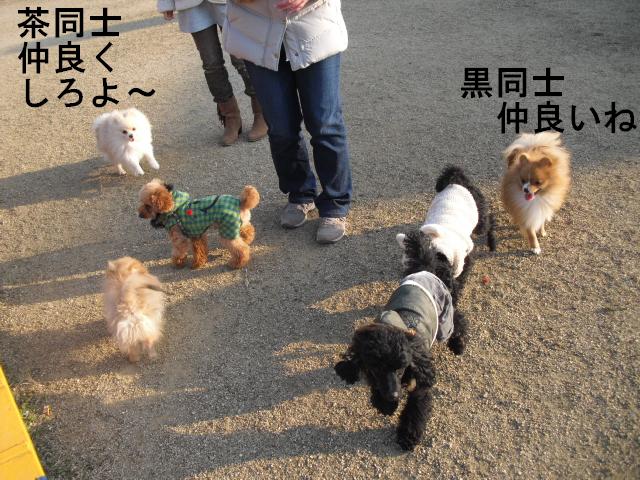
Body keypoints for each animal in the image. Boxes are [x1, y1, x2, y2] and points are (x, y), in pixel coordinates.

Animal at [334, 231, 468, 451]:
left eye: (400, 368)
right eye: (376, 368)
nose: (393, 396)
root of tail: (426, 269)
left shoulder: (420, 378)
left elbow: (416, 407)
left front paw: (408, 436)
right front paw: (386, 405)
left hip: (444, 316)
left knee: (457, 319)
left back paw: (458, 344)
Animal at [396, 166, 496, 303]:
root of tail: (456, 181)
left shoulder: (464, 260)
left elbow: (460, 277)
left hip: (479, 219)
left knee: (489, 221)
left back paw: (492, 244)